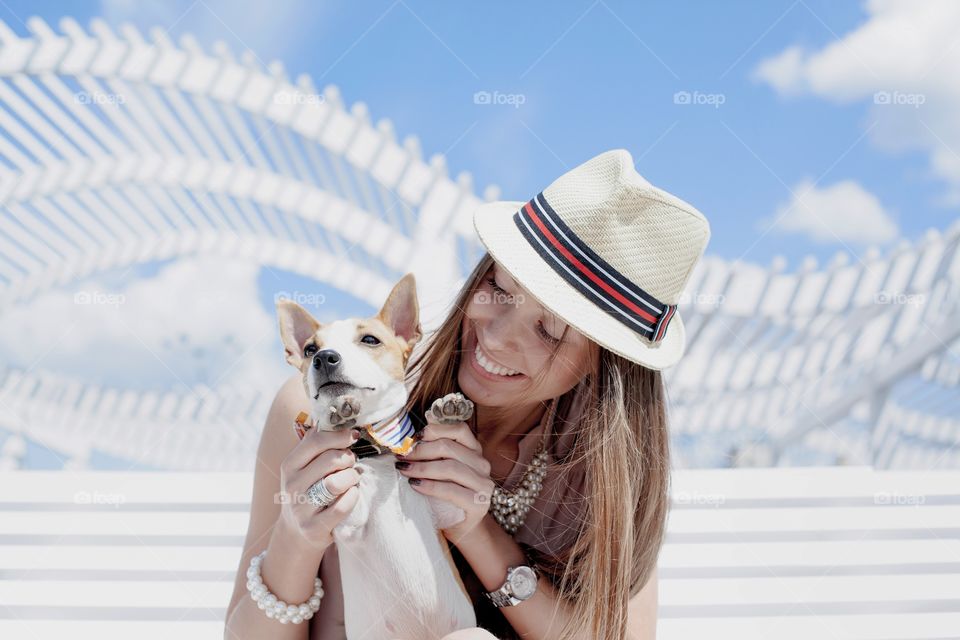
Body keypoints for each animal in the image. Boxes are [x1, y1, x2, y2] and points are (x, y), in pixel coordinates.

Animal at [276, 274, 478, 640]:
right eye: (310, 348)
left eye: (370, 339)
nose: (324, 357)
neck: (375, 452)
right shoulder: (349, 522)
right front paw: (333, 418)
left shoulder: (448, 510)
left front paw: (447, 412)